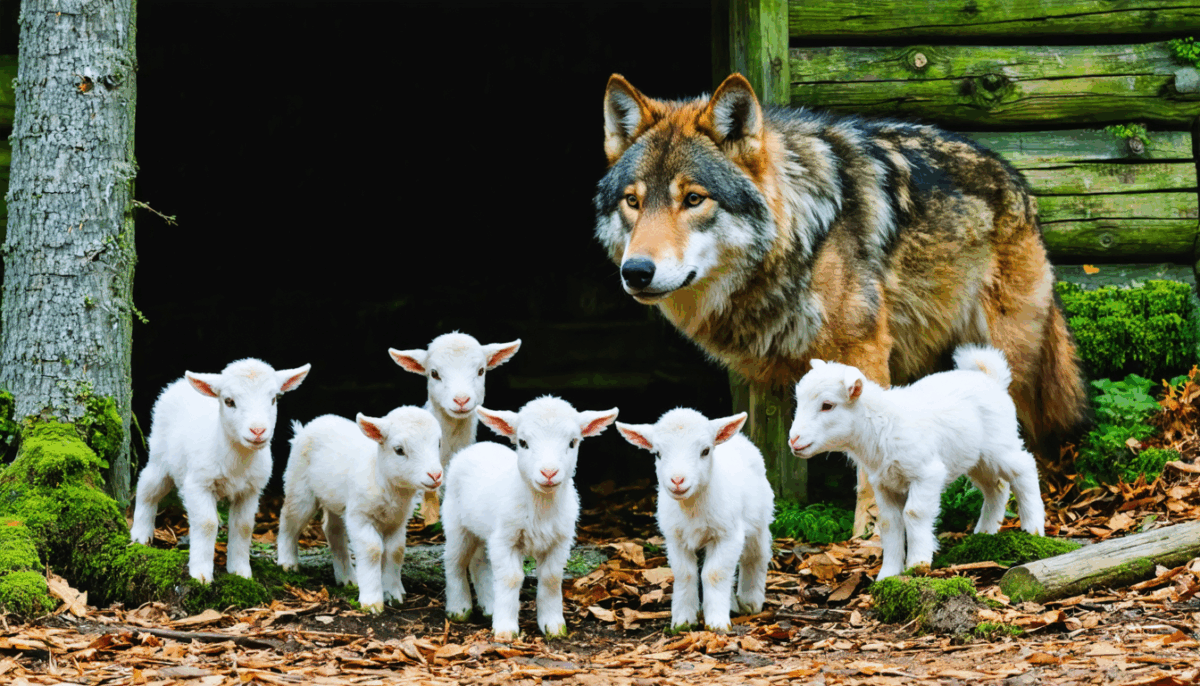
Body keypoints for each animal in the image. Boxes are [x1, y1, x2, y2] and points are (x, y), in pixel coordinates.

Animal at [593, 73, 1088, 530]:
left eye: (694, 198)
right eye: (633, 201)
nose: (636, 271)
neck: (802, 238)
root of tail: (1015, 178)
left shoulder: (863, 352)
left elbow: (868, 461)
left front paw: (868, 534)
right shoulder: (763, 374)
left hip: (1008, 350)